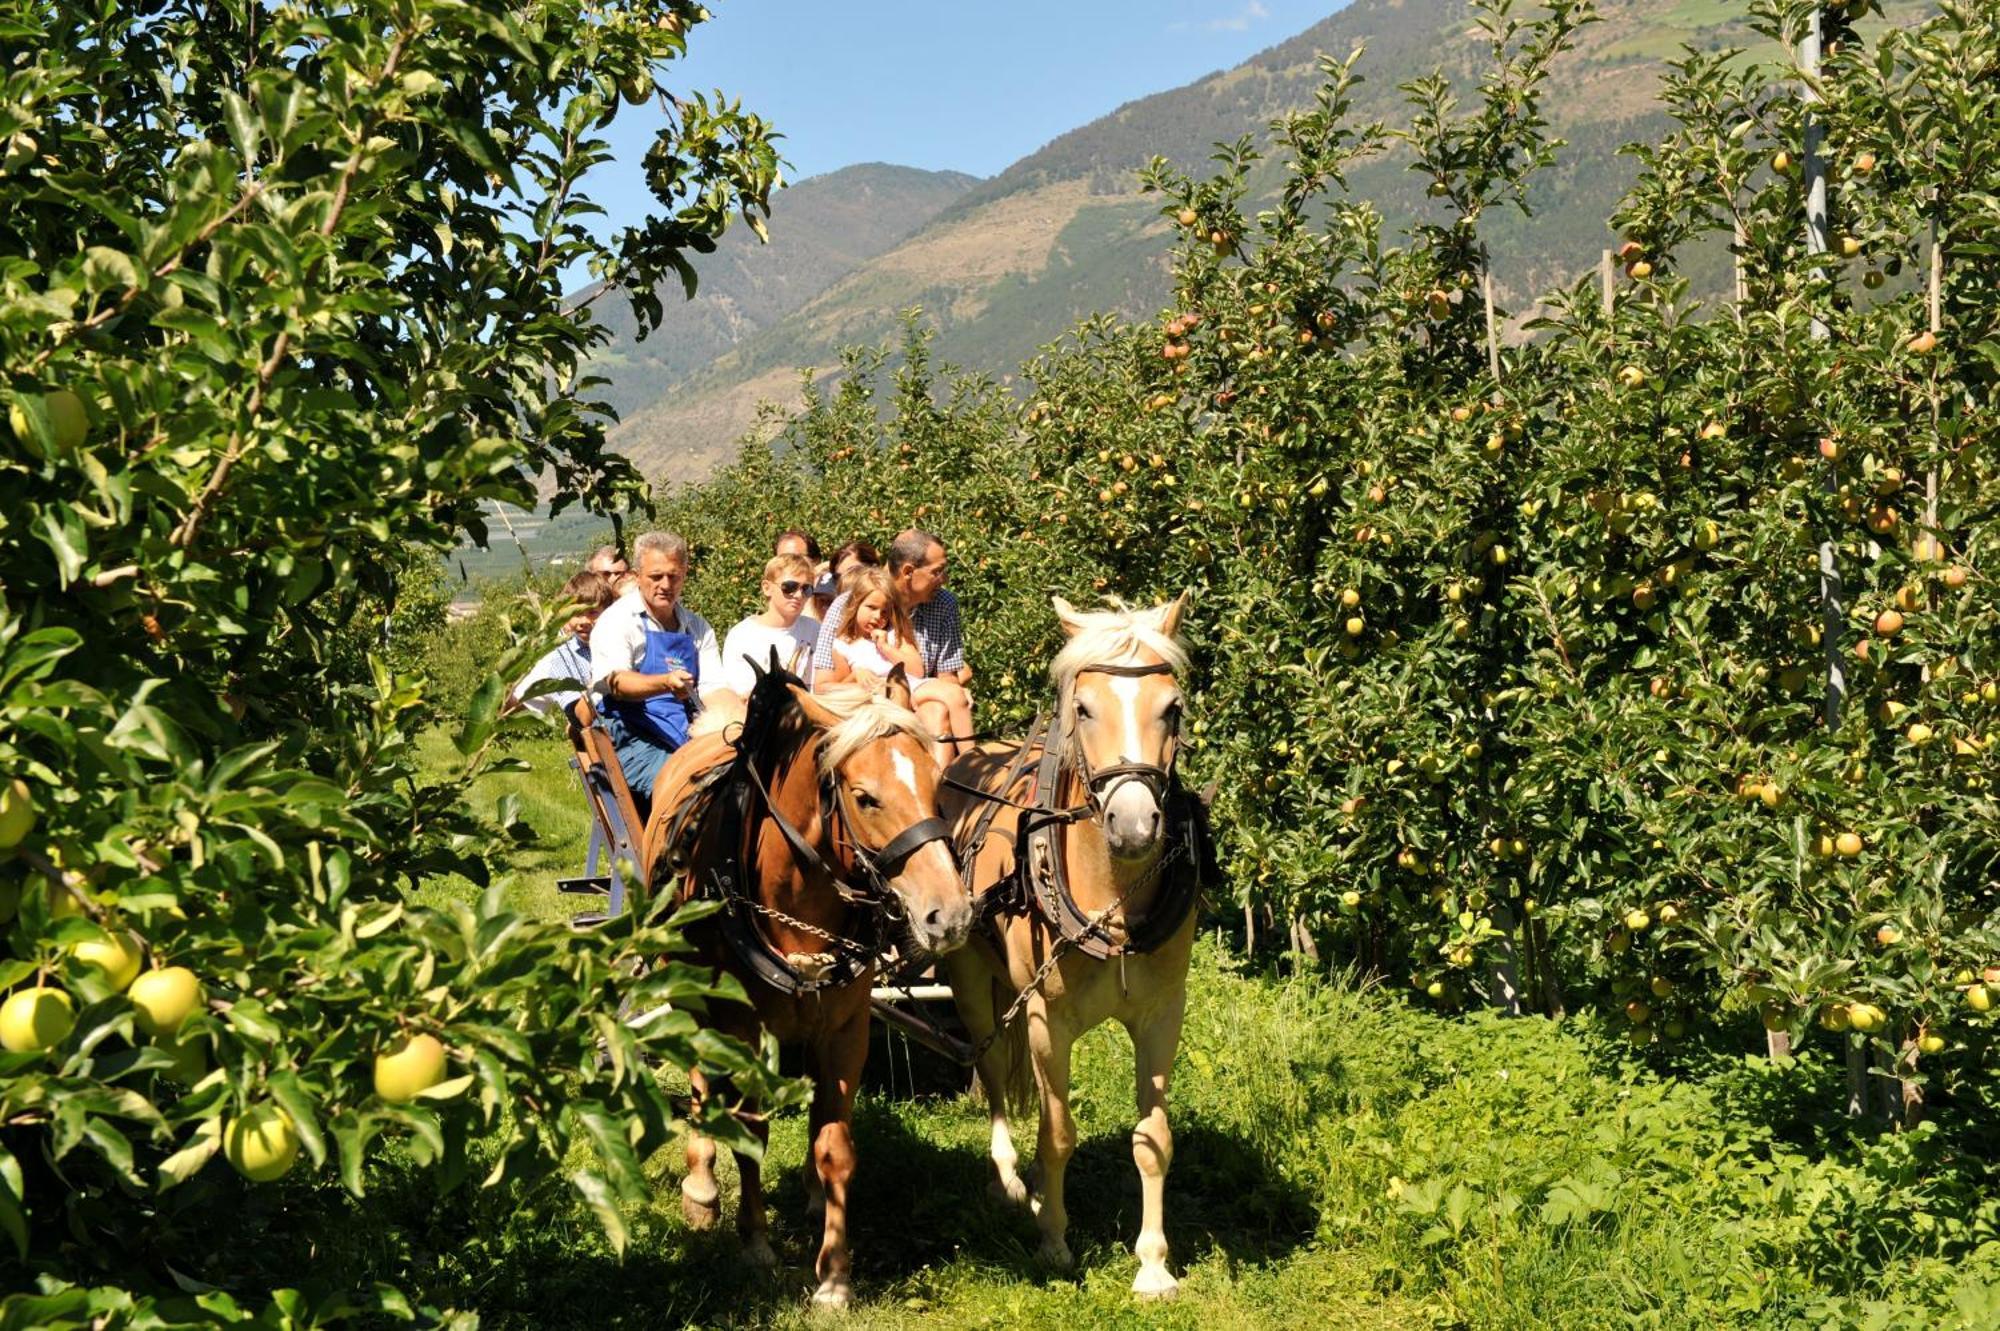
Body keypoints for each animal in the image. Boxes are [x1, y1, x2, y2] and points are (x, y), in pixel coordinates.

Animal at [644, 667, 972, 1303]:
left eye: (937, 784)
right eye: (865, 797)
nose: (949, 915)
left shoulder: (845, 1025)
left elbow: (834, 1144)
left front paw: (834, 1275)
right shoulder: (741, 1026)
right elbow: (750, 1132)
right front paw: (755, 1243)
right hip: (692, 991)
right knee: (700, 1078)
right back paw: (701, 1183)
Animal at [936, 591, 1200, 1295]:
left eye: (1173, 708)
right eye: (1083, 708)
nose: (1133, 824)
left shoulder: (1163, 1013)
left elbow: (1155, 1138)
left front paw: (1154, 1265)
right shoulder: (1045, 1018)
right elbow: (1056, 1133)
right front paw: (1053, 1238)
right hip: (970, 977)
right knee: (992, 1072)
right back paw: (1007, 1182)